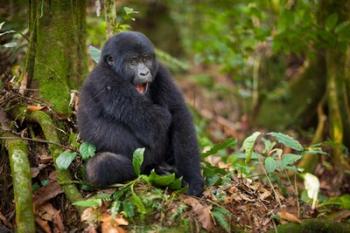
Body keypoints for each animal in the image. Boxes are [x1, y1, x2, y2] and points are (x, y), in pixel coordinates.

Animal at [76, 31, 202, 196]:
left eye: (146, 59)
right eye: (133, 61)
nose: (145, 72)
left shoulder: (161, 71)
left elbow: (178, 114)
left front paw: (192, 178)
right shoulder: (105, 81)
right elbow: (156, 122)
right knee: (99, 166)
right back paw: (155, 170)